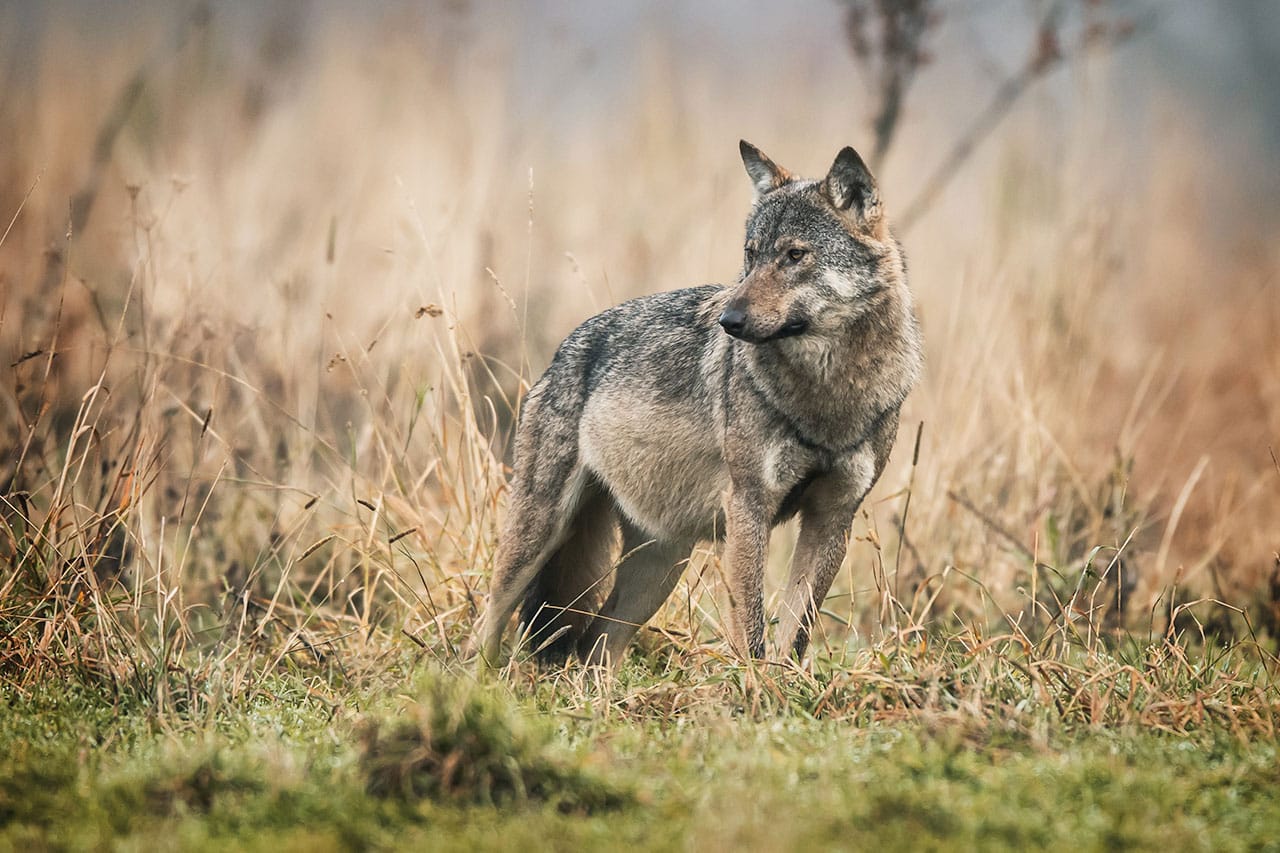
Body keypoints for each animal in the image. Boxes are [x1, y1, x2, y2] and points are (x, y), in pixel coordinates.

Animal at [476, 141, 922, 668]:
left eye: (794, 255)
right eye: (750, 255)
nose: (729, 320)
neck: (829, 395)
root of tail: (564, 349)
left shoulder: (834, 515)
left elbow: (796, 632)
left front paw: (785, 683)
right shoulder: (749, 506)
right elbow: (751, 629)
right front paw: (754, 685)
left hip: (658, 569)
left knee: (595, 647)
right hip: (540, 533)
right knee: (488, 623)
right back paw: (473, 677)